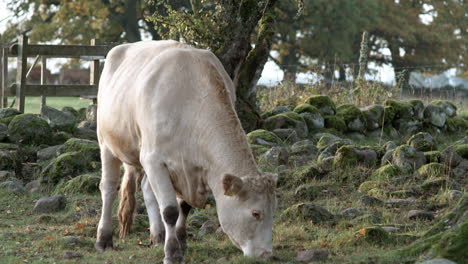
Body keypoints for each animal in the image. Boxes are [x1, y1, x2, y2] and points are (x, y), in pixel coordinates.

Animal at [96, 40, 276, 262]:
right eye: (255, 213)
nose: (267, 254)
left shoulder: (189, 168)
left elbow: (184, 207)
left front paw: (181, 242)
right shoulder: (154, 160)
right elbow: (170, 211)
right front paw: (172, 253)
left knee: (147, 189)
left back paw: (158, 236)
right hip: (106, 143)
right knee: (109, 188)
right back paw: (103, 240)